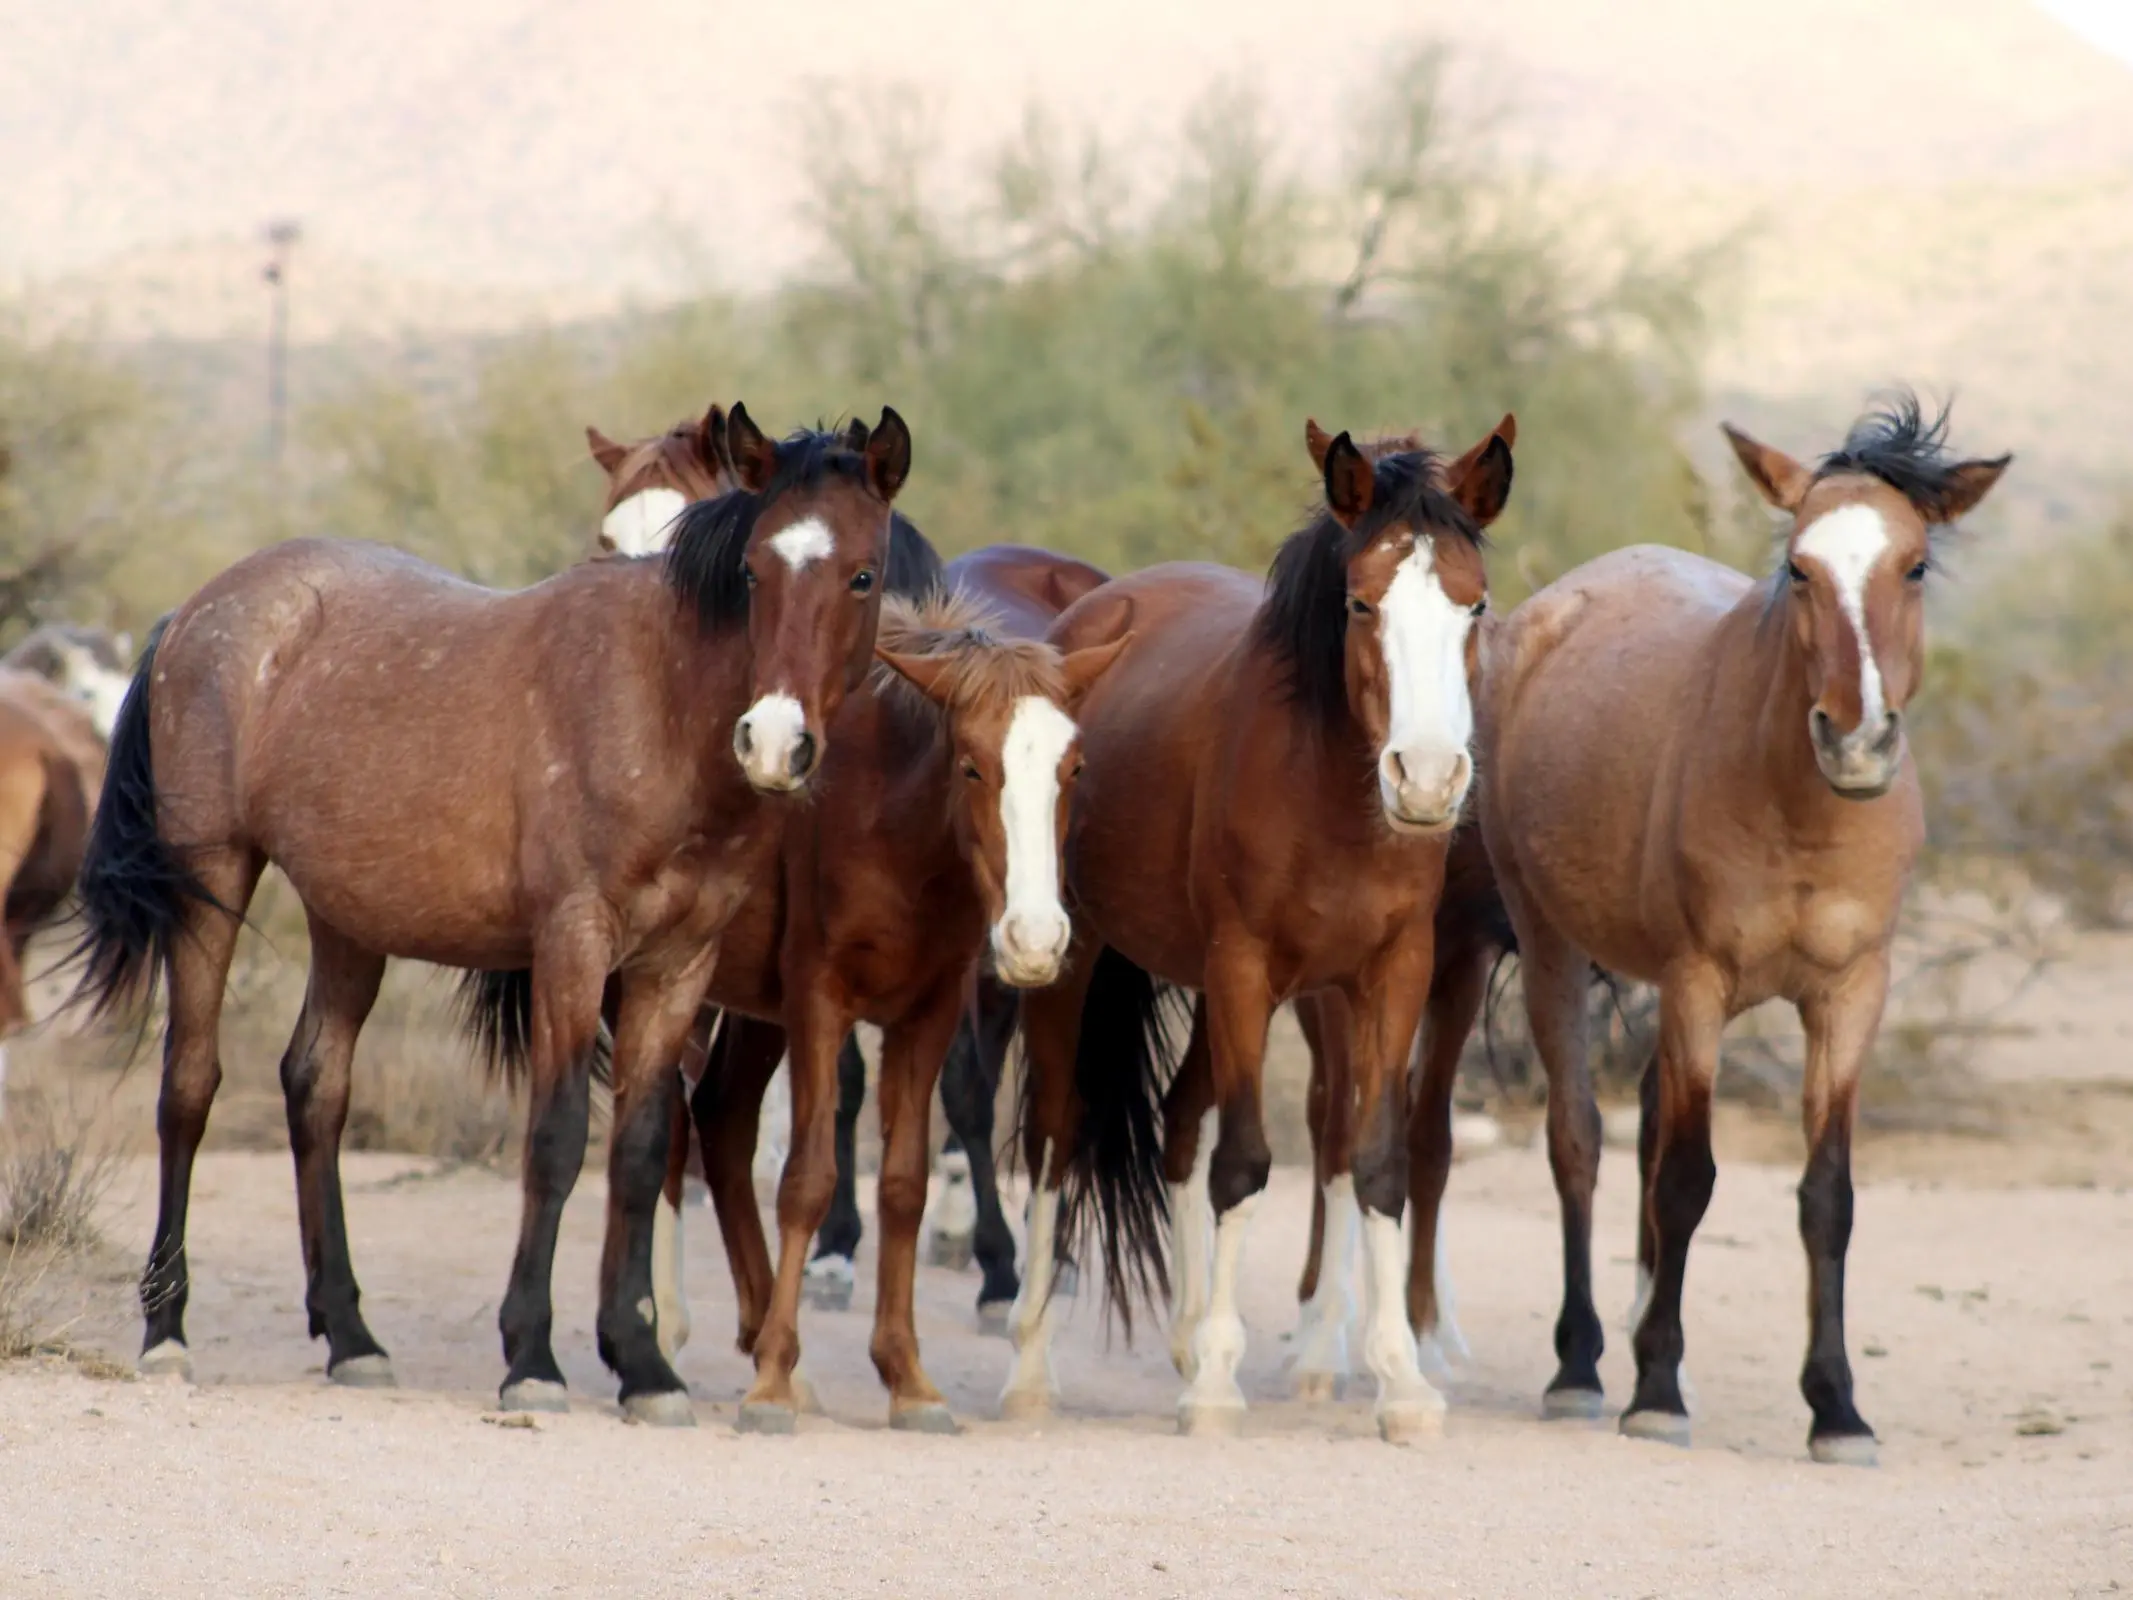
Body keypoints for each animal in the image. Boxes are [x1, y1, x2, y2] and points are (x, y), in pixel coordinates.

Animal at [64, 403, 917, 1425]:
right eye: (753, 571)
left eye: (862, 574)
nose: (775, 741)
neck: (661, 696)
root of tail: (199, 610)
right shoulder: (573, 948)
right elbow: (556, 1139)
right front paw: (534, 1357)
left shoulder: (677, 967)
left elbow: (640, 1149)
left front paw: (644, 1365)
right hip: (214, 877)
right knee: (188, 1088)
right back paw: (166, 1329)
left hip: (348, 919)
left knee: (316, 1087)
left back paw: (351, 1337)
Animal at [509, 597, 1126, 1433]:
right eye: (972, 766)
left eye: (1072, 770)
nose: (1035, 938)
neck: (885, 818)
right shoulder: (818, 1003)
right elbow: (808, 1178)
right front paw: (770, 1382)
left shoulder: (926, 1014)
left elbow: (901, 1186)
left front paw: (904, 1376)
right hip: (648, 985)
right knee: (668, 1137)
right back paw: (669, 1335)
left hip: (746, 1013)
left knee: (723, 1125)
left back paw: (763, 1336)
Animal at [1002, 413, 1518, 1442]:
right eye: (1360, 604)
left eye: (1473, 607)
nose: (1428, 779)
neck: (1326, 792)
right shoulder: (1245, 968)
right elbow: (1241, 1164)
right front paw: (1214, 1386)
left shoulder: (1390, 976)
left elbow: (1375, 1163)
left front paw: (1401, 1383)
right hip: (1080, 966)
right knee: (1052, 1140)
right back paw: (1034, 1369)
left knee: (1173, 1125)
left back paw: (1184, 1335)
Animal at [1476, 392, 2005, 1467]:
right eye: (1798, 568)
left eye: (1913, 565)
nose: (1855, 739)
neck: (1799, 812)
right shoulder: (1698, 982)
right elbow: (1687, 1178)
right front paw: (1657, 1394)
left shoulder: (1850, 995)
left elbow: (1826, 1196)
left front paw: (1837, 1409)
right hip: (1553, 946)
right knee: (1578, 1139)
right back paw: (1580, 1365)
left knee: (1636, 1134)